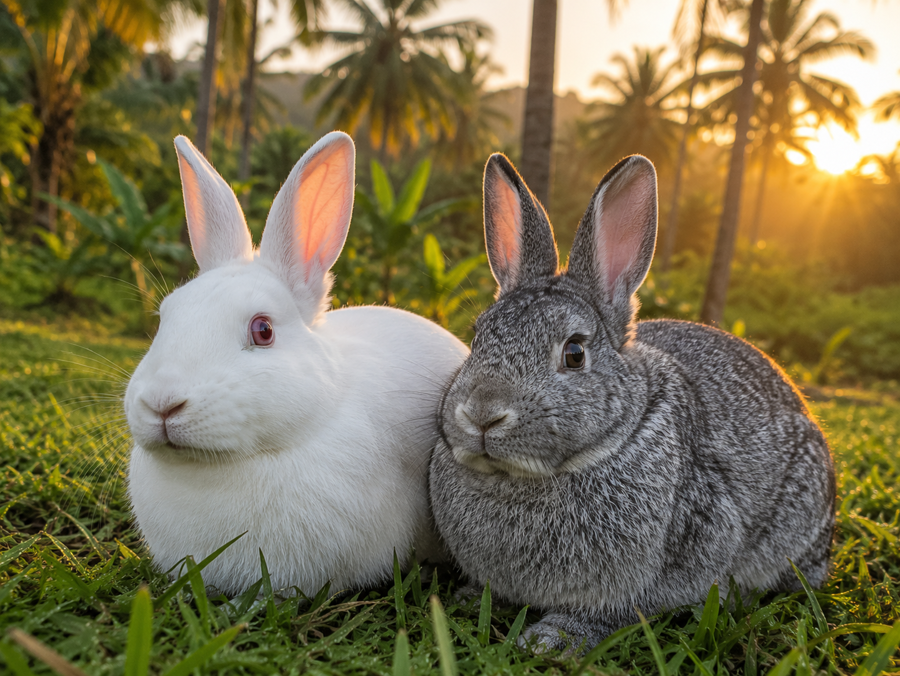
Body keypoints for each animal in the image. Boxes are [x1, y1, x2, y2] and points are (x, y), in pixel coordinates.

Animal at [429, 153, 836, 654]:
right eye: (477, 339)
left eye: (574, 353)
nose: (483, 415)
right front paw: (469, 599)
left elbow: (615, 611)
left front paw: (552, 640)